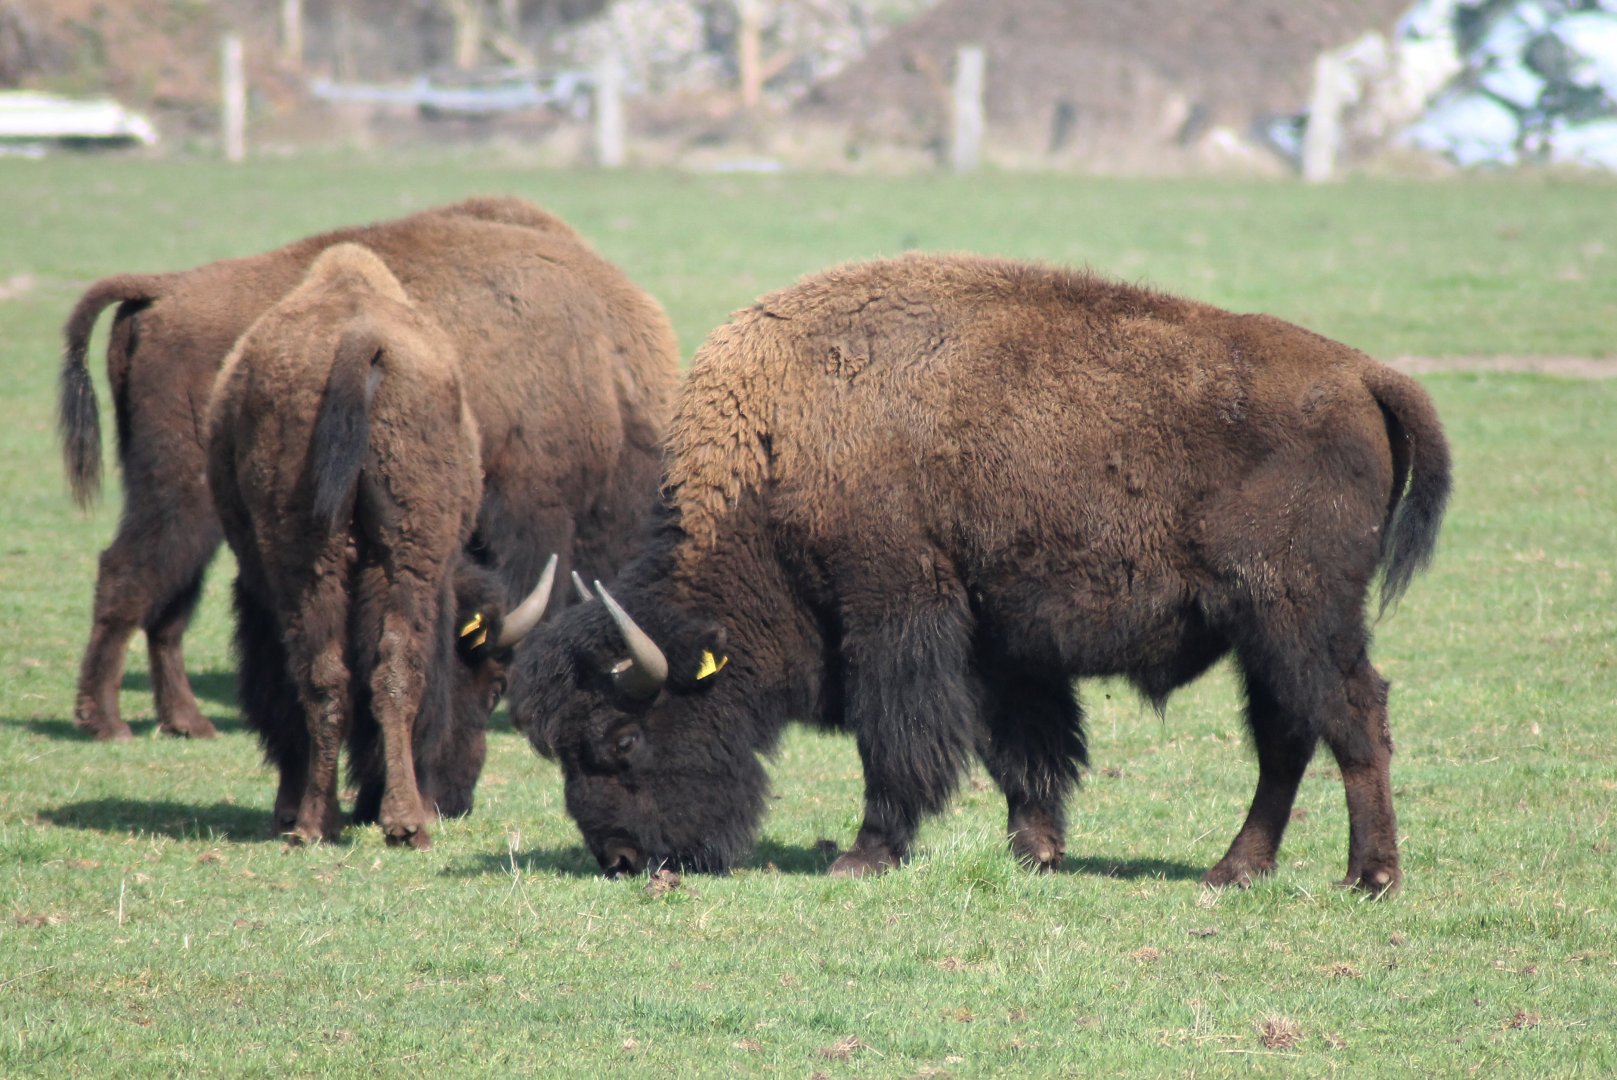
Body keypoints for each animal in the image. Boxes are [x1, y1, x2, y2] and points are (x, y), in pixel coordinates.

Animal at [510, 252, 1450, 893]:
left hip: (1298, 614)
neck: (777, 453)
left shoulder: (894, 610)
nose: (621, 859)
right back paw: (1233, 870)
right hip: (1262, 633)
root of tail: (1363, 374)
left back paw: (1368, 878)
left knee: (1352, 717)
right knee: (1287, 736)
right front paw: (1035, 851)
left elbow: (899, 740)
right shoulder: (998, 639)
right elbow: (1022, 750)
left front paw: (864, 856)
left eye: (623, 741)